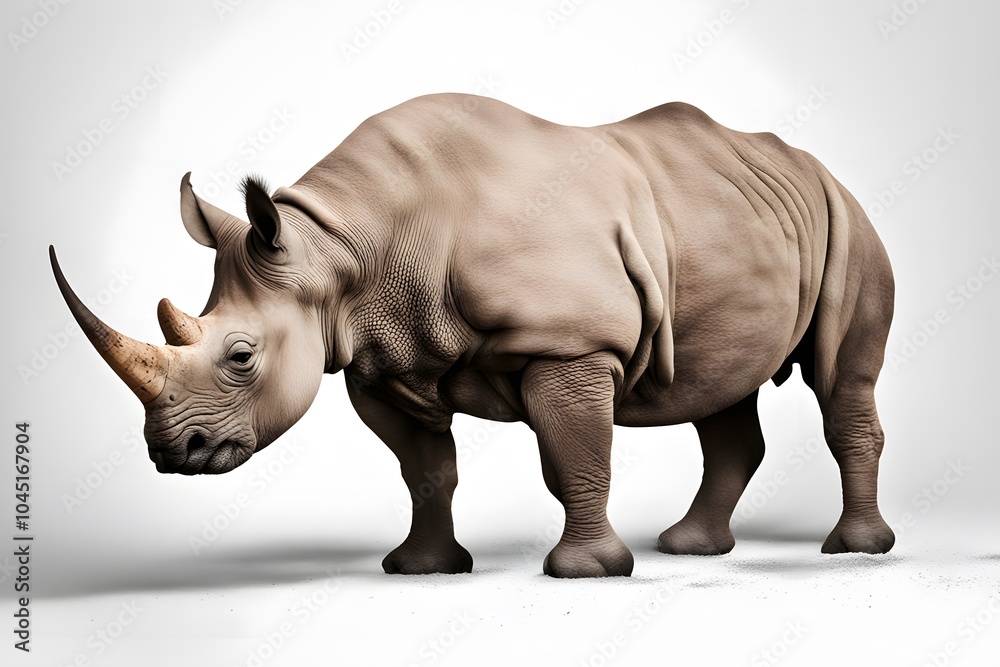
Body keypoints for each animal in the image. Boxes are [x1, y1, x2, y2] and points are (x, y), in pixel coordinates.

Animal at [50, 93, 895, 578]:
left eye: (241, 356)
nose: (173, 453)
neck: (345, 251)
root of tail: (816, 166)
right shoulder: (380, 361)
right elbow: (426, 469)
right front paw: (422, 568)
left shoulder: (569, 344)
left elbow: (574, 456)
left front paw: (586, 572)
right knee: (720, 386)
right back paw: (689, 546)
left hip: (847, 222)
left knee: (838, 377)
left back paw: (853, 550)